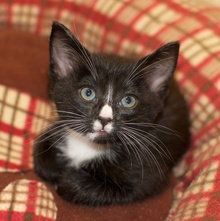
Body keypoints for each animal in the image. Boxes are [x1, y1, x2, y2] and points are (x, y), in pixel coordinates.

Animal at [33, 21, 190, 206]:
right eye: (88, 93)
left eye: (128, 101)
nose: (104, 119)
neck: (91, 146)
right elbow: (40, 154)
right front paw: (53, 167)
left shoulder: (147, 170)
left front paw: (66, 179)